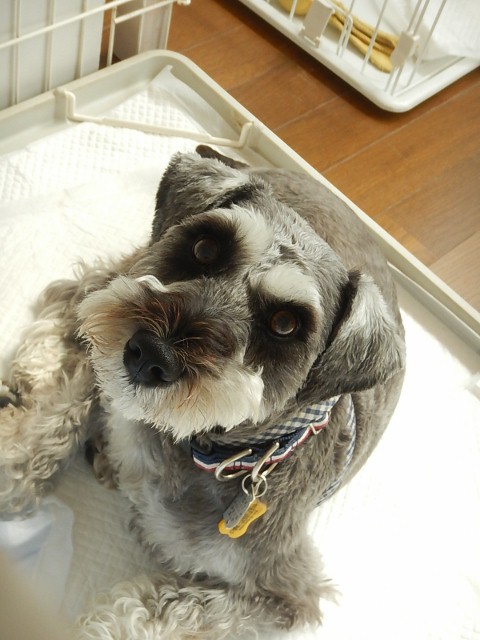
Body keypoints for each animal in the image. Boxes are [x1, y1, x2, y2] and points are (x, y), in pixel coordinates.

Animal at [0, 145, 405, 639]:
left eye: (285, 324)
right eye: (205, 248)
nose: (149, 355)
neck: (193, 445)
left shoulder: (281, 596)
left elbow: (160, 612)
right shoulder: (102, 384)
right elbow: (49, 429)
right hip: (129, 268)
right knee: (77, 289)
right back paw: (35, 365)